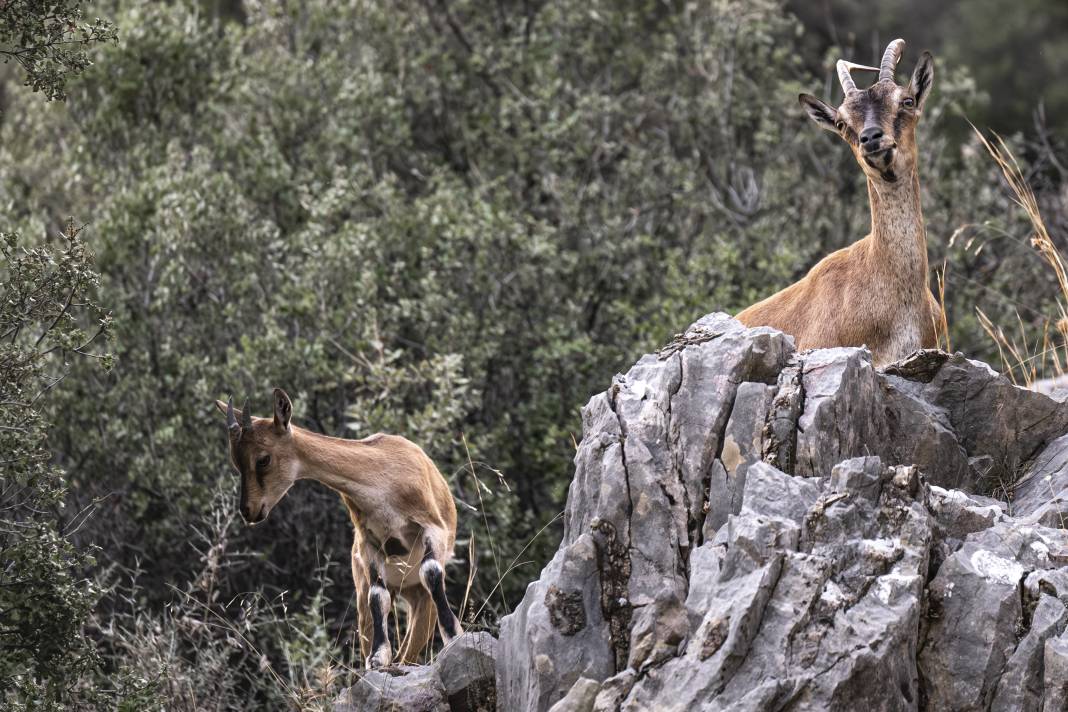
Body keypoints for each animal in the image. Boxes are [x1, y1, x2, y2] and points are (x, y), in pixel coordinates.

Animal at [213, 390, 463, 670]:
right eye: (236, 462)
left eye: (263, 459)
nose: (249, 511)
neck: (384, 478)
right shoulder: (369, 543)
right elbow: (378, 596)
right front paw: (378, 656)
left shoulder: (432, 527)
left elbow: (431, 571)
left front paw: (454, 634)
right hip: (372, 596)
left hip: (421, 600)